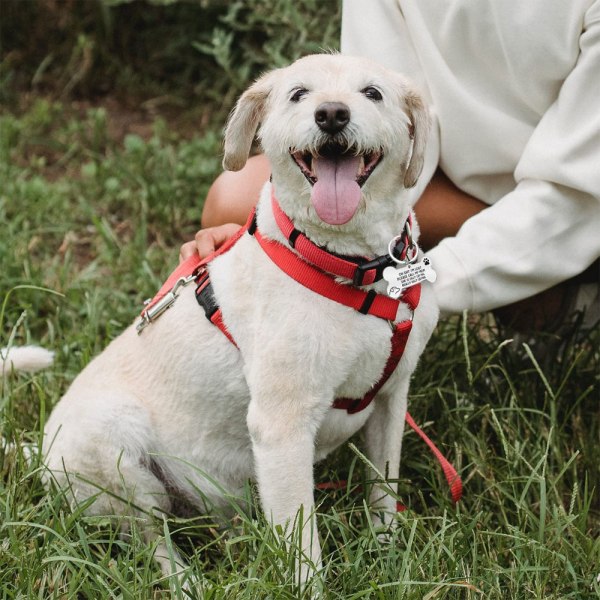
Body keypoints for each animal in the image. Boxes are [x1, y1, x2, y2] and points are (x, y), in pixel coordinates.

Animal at [42, 55, 436, 592]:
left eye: (372, 93)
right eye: (298, 93)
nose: (331, 114)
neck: (354, 270)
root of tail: (33, 454)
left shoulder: (392, 399)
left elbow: (383, 490)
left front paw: (388, 555)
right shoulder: (281, 428)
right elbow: (302, 544)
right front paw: (310, 588)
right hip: (115, 451)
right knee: (151, 541)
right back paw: (188, 583)